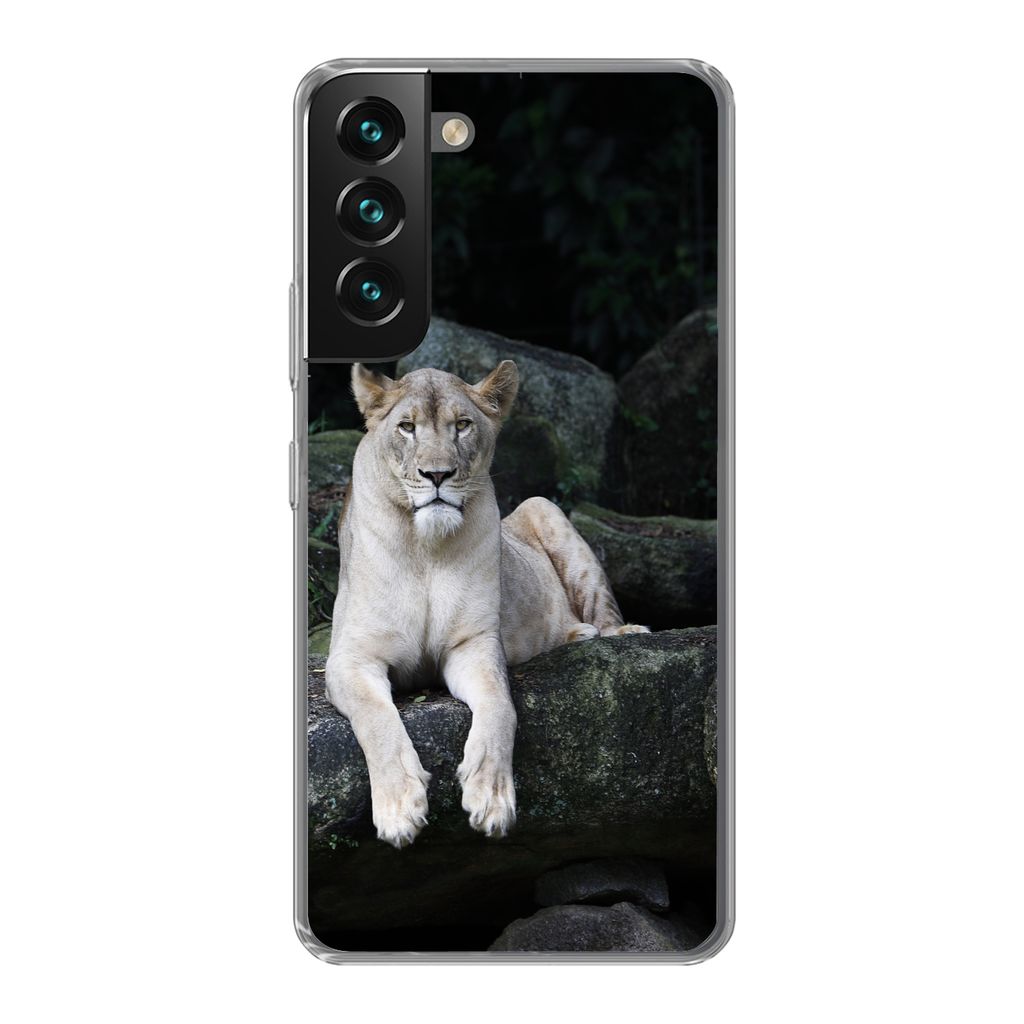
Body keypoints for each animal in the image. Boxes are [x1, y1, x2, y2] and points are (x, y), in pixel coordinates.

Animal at [323, 360, 648, 848]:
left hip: (544, 507)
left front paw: (491, 799)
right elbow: (376, 718)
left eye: (462, 425)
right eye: (406, 427)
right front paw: (400, 810)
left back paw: (609, 632)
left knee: (602, 611)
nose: (437, 474)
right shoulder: (350, 658)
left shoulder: (473, 646)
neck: (426, 549)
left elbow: (500, 706)